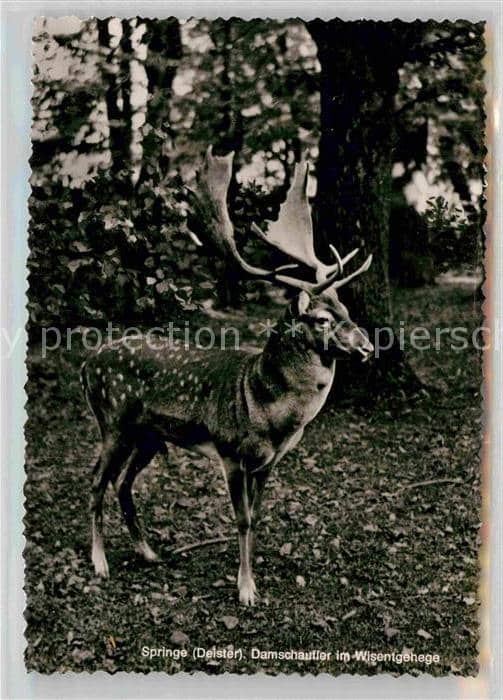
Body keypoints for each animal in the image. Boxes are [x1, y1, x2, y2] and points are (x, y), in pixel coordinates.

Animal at [81, 147, 374, 606]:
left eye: (346, 308)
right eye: (323, 318)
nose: (367, 346)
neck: (269, 412)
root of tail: (86, 363)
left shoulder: (270, 460)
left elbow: (258, 515)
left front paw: (254, 573)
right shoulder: (231, 452)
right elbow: (241, 519)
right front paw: (246, 589)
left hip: (148, 435)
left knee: (122, 484)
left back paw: (149, 552)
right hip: (112, 421)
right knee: (96, 482)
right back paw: (100, 562)